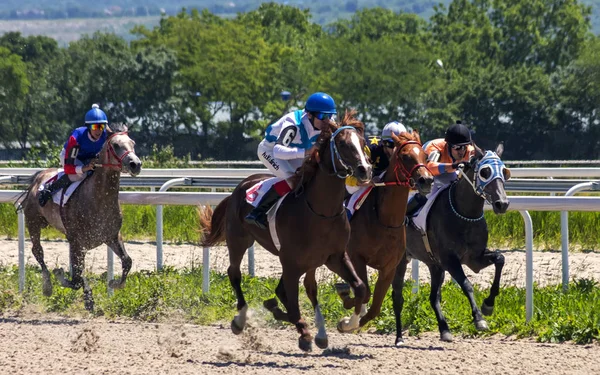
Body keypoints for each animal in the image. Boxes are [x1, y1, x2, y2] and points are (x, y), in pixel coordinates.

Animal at [17, 123, 142, 312]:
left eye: (133, 143)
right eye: (115, 145)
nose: (135, 164)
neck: (98, 199)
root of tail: (39, 177)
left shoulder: (111, 236)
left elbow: (127, 261)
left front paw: (113, 283)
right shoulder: (77, 241)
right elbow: (76, 277)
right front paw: (72, 285)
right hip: (33, 222)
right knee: (37, 251)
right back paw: (47, 286)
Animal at [199, 111, 372, 352]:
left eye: (363, 143)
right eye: (343, 144)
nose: (365, 170)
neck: (321, 211)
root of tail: (240, 187)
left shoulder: (334, 257)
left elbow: (359, 287)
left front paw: (347, 323)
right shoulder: (290, 262)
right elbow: (293, 299)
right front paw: (305, 332)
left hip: (305, 260)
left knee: (300, 289)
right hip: (239, 240)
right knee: (235, 273)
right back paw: (241, 319)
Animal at [330, 131, 434, 334]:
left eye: (425, 156)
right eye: (406, 156)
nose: (426, 180)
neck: (385, 221)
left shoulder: (389, 267)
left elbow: (375, 306)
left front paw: (353, 320)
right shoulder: (357, 258)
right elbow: (364, 292)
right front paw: (348, 320)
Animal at [394, 144, 510, 346]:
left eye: (504, 171)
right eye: (485, 172)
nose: (501, 203)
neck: (465, 214)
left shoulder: (474, 258)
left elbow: (500, 258)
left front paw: (488, 305)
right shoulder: (450, 260)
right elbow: (466, 284)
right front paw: (479, 319)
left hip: (434, 265)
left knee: (433, 297)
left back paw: (445, 330)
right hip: (401, 260)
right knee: (397, 297)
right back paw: (399, 337)